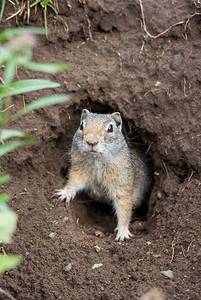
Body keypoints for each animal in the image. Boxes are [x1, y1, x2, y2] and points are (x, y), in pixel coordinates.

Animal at [55, 109, 152, 240]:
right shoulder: (79, 170)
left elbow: (124, 207)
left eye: (110, 128)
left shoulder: (122, 182)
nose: (91, 142)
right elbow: (73, 181)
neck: (97, 160)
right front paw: (65, 193)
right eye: (81, 125)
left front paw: (122, 232)